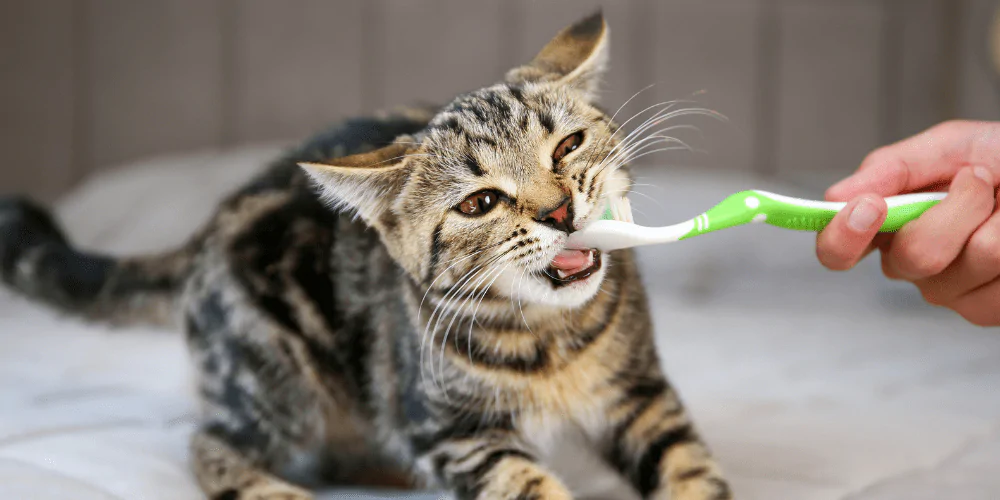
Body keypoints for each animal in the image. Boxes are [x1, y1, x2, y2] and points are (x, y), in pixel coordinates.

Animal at [0, 10, 736, 500]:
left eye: (568, 146)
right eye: (480, 204)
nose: (558, 212)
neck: (554, 339)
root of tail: (205, 228)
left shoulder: (640, 393)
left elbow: (689, 467)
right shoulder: (454, 432)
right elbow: (524, 481)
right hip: (276, 373)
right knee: (211, 440)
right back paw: (277, 488)